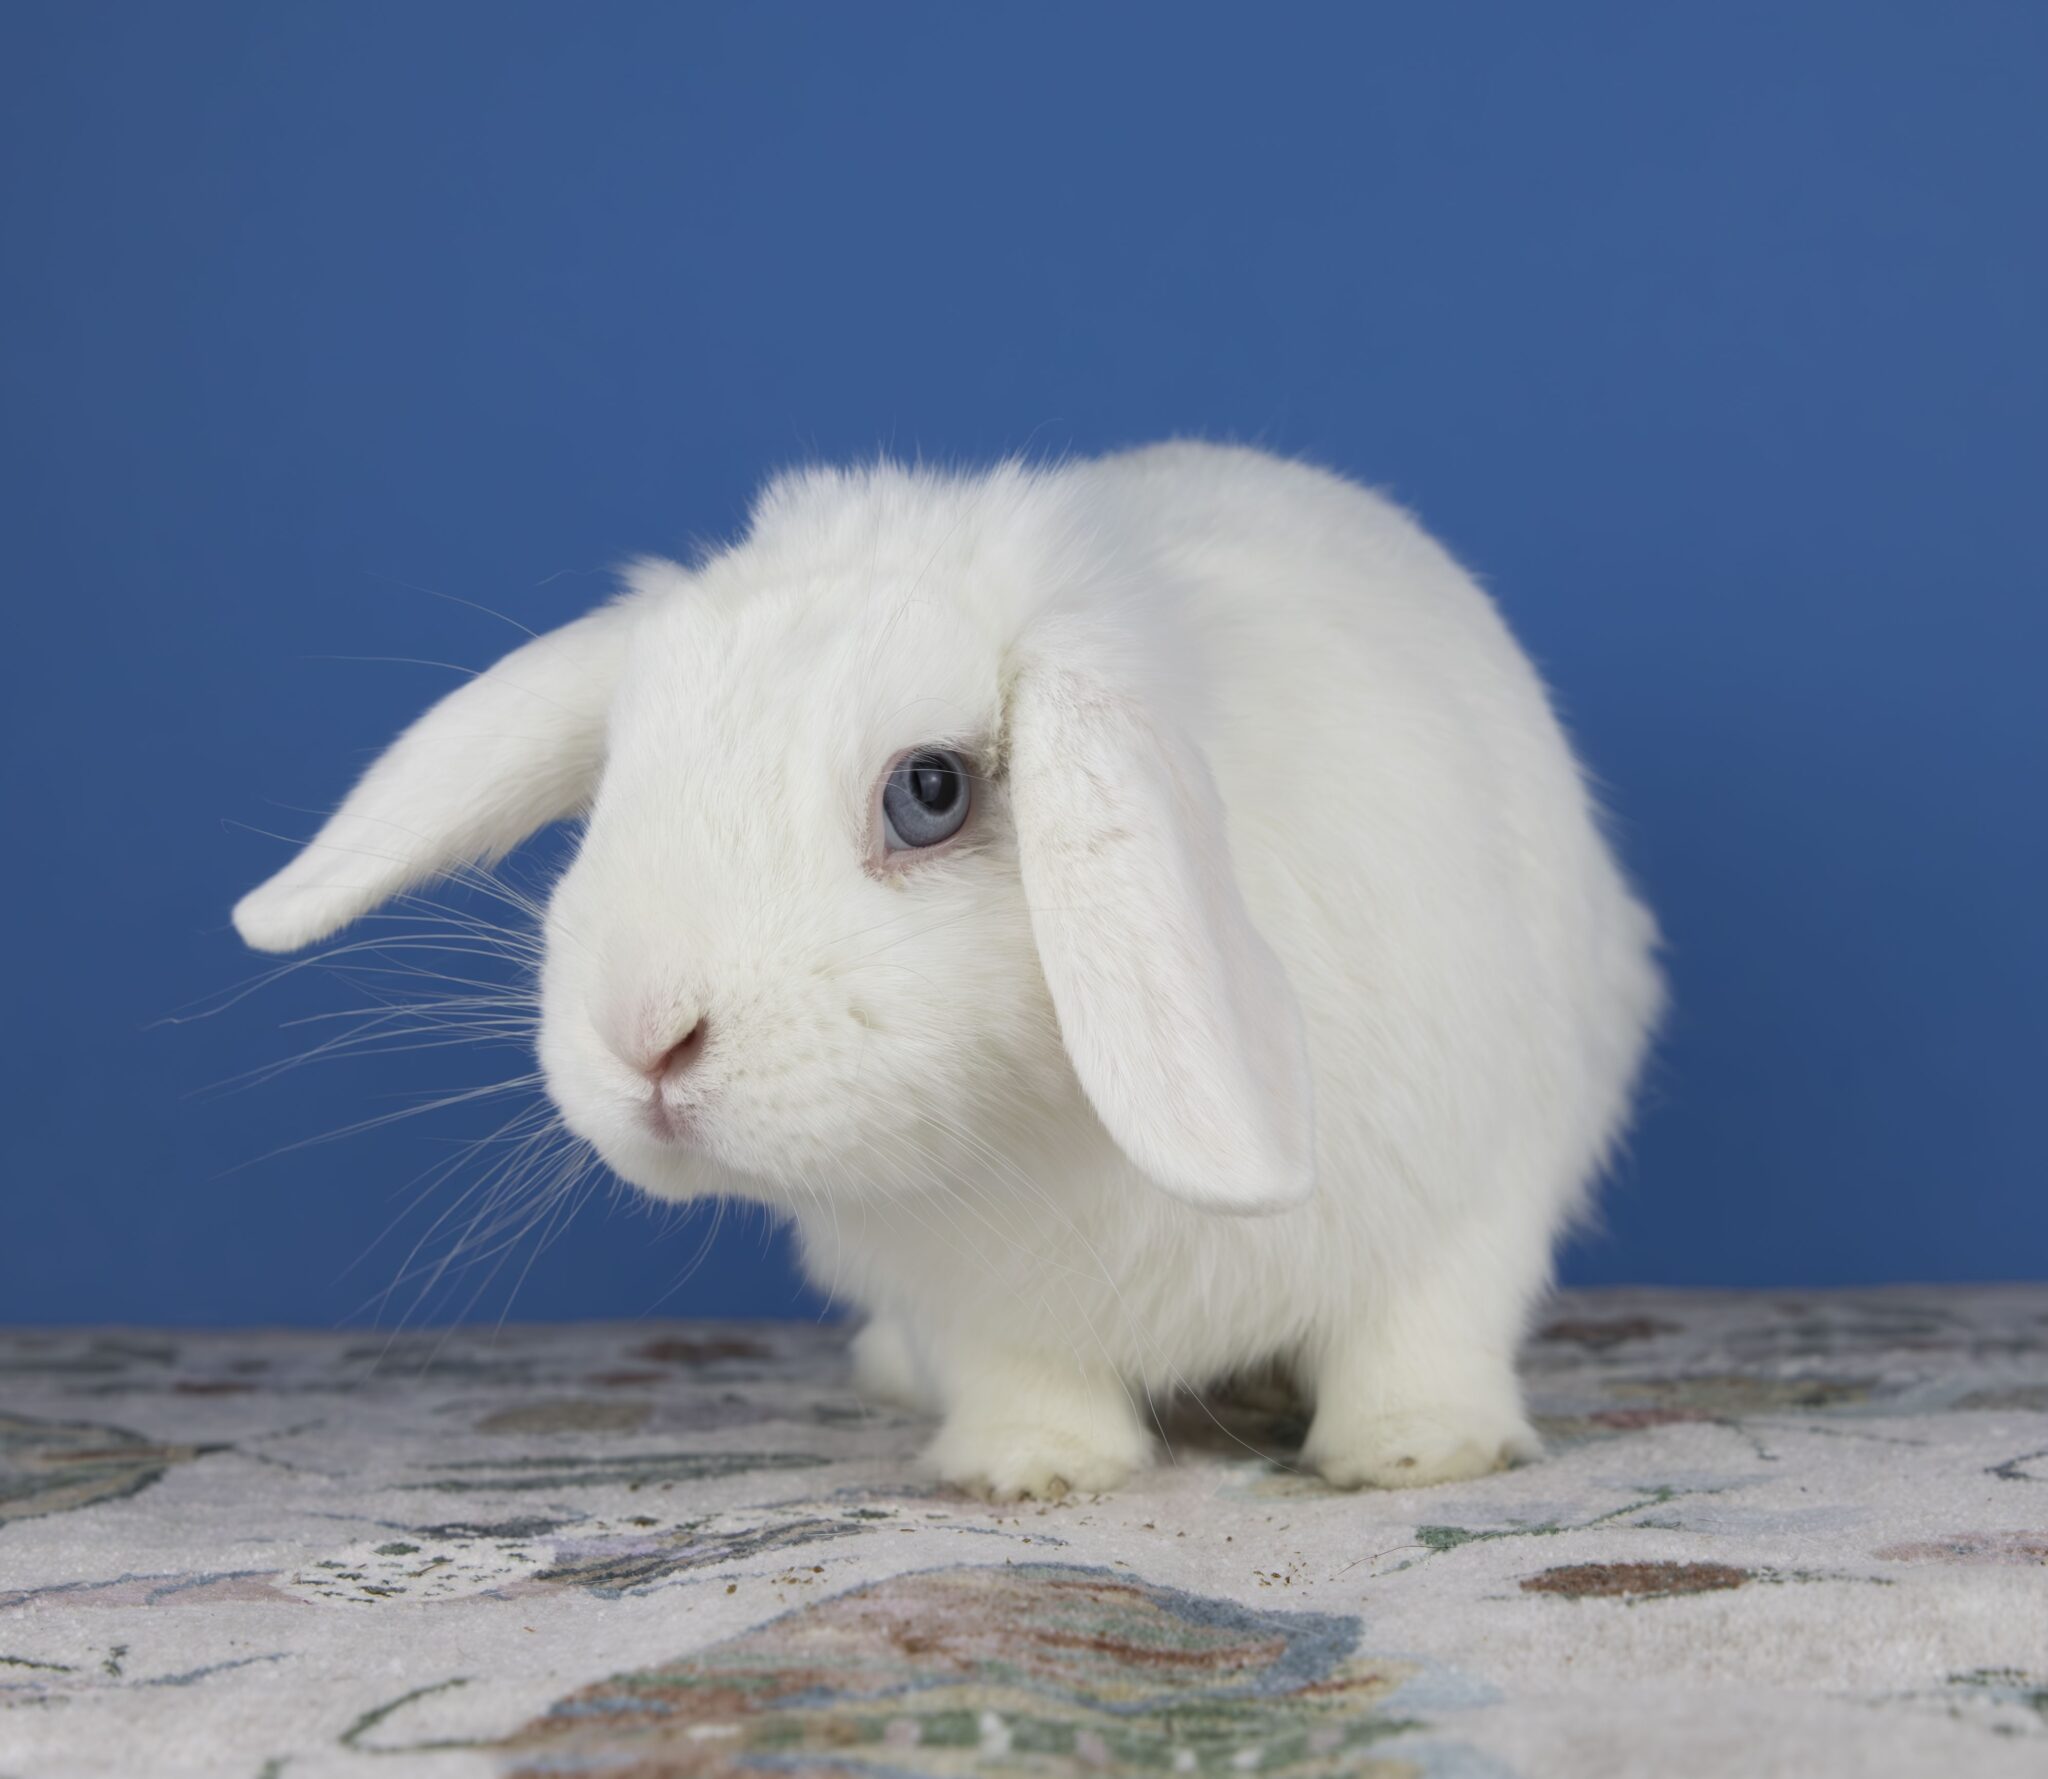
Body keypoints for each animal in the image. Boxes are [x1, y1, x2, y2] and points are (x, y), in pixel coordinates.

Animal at [233, 441, 1663, 1500]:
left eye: (928, 792)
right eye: (616, 780)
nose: (642, 1035)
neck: (1042, 1122)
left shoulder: (1467, 1194)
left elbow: (1419, 1334)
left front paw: (1417, 1455)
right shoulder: (975, 1301)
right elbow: (1021, 1378)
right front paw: (1029, 1471)